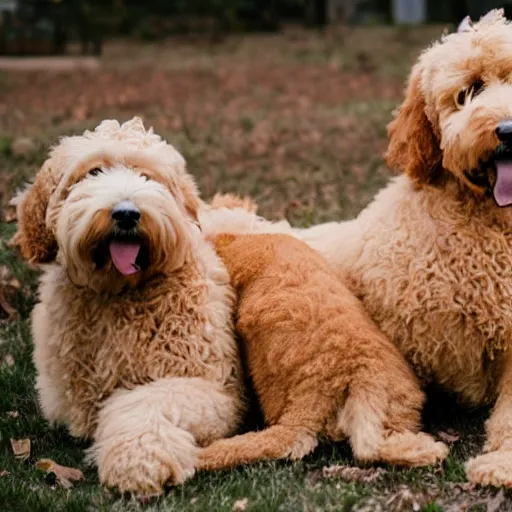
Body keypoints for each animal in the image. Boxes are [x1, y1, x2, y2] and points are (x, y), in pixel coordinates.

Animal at [11, 117, 244, 496]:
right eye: (94, 172)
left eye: (146, 176)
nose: (126, 214)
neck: (118, 292)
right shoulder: (63, 395)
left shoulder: (213, 389)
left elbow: (144, 402)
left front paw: (137, 460)